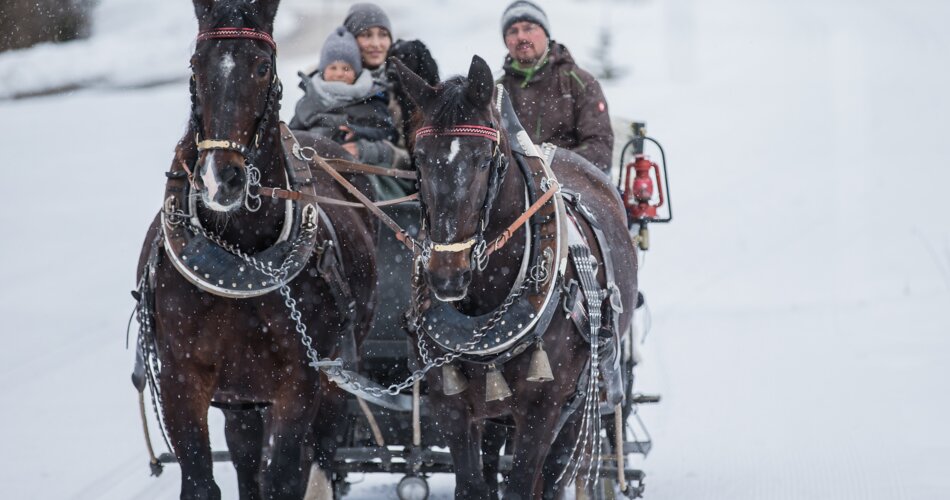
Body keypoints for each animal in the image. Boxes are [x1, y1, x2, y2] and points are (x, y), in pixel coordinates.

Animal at [136, 1, 378, 498]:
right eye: (196, 64)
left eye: (263, 66)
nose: (219, 179)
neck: (236, 255)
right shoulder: (180, 380)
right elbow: (201, 481)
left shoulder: (300, 382)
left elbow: (285, 476)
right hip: (242, 397)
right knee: (247, 454)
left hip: (336, 377)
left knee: (322, 452)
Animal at [390, 56, 644, 498]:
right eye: (418, 157)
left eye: (483, 158)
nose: (446, 276)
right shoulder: (450, 403)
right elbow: (473, 486)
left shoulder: (544, 406)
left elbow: (525, 484)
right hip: (495, 409)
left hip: (580, 400)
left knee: (557, 473)